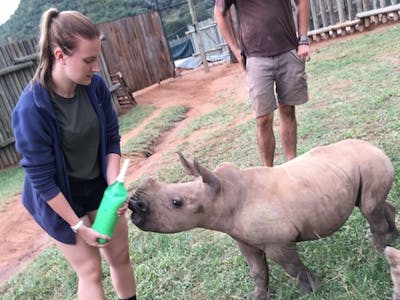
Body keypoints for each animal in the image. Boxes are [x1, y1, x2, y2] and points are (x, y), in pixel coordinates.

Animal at [130, 139, 396, 298]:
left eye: (176, 203)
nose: (134, 205)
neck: (222, 196)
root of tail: (375, 147)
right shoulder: (243, 239)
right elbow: (257, 271)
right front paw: (257, 296)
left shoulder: (279, 241)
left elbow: (292, 267)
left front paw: (311, 290)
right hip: (362, 167)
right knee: (374, 204)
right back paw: (393, 238)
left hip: (370, 164)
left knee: (369, 209)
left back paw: (375, 255)